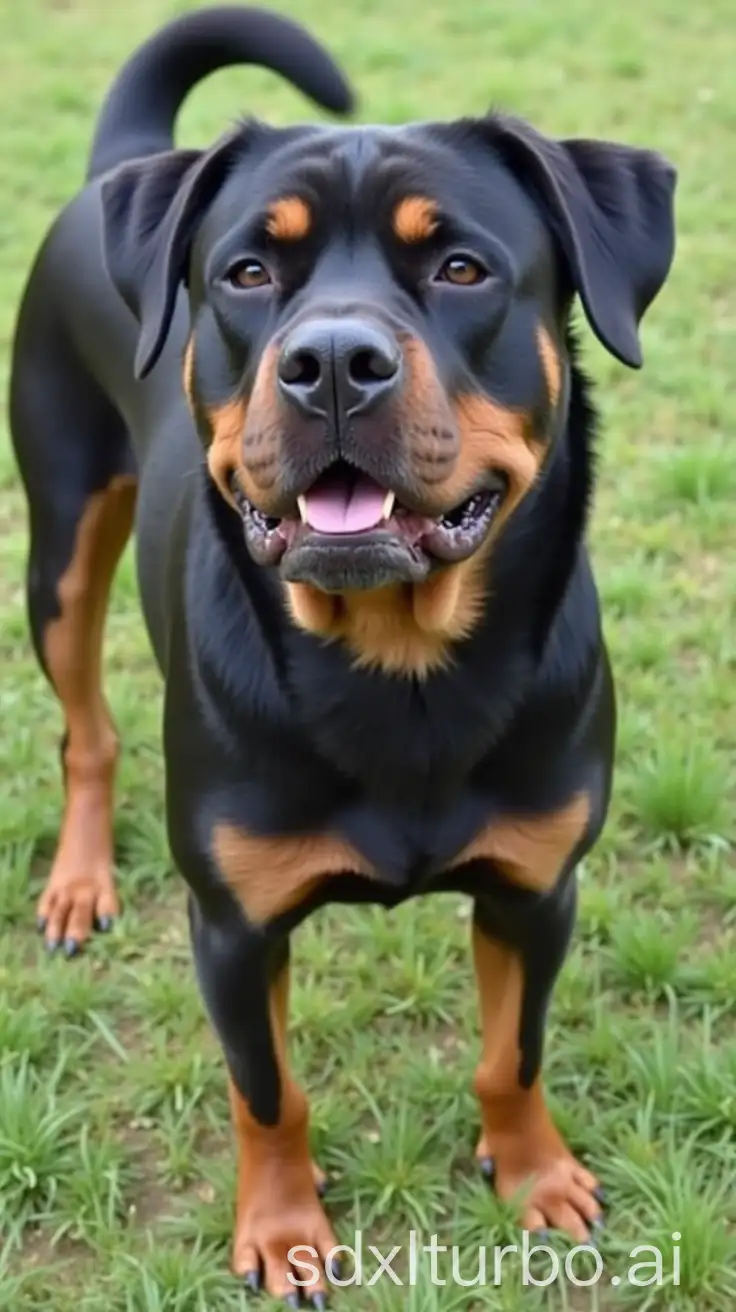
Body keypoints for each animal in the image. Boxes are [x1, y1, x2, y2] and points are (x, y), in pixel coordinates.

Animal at [8, 0, 676, 1301]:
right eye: (248, 272)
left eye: (461, 267)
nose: (329, 363)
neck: (399, 669)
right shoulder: (232, 926)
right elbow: (268, 1095)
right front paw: (281, 1231)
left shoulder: (538, 890)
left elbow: (513, 1054)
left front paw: (534, 1176)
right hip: (58, 542)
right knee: (85, 728)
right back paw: (78, 877)